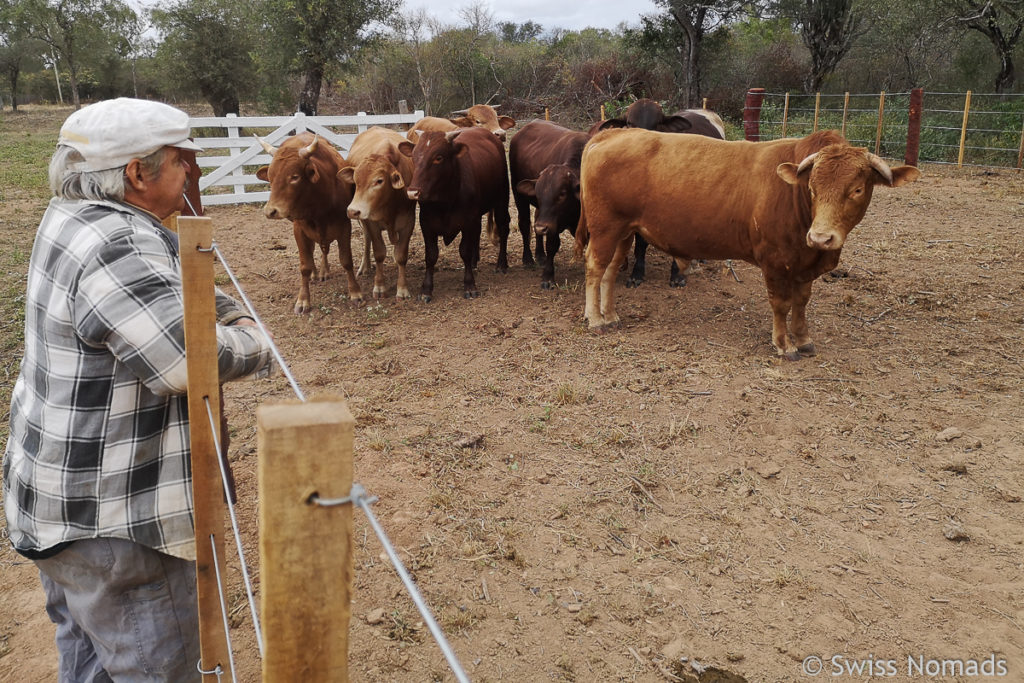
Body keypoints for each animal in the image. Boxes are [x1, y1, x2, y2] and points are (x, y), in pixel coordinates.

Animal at [256, 134, 360, 315]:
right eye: (270, 176)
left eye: (294, 176)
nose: (270, 211)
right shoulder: (299, 229)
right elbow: (305, 265)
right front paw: (303, 299)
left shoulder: (344, 225)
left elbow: (346, 260)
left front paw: (355, 292)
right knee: (313, 252)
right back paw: (315, 273)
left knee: (324, 249)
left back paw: (324, 271)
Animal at [337, 127, 413, 299]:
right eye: (356, 180)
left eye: (379, 181)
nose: (352, 210)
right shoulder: (371, 223)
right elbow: (379, 253)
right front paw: (379, 286)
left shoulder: (408, 223)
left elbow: (401, 255)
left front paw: (402, 288)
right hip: (363, 221)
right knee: (367, 239)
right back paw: (365, 266)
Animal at [397, 126, 512, 301]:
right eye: (414, 157)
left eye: (438, 157)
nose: (413, 192)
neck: (446, 201)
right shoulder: (426, 224)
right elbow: (431, 255)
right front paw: (426, 289)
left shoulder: (468, 222)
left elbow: (465, 251)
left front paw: (470, 285)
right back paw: (475, 262)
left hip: (501, 200)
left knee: (503, 228)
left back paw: (501, 264)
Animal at [507, 118, 589, 286]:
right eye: (538, 193)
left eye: (562, 193)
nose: (542, 227)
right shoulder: (552, 224)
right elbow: (552, 245)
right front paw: (548, 276)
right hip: (520, 198)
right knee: (525, 224)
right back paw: (528, 258)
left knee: (536, 219)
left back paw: (540, 254)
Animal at [577, 130, 921, 360]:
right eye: (811, 187)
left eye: (858, 189)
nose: (821, 238)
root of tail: (616, 132)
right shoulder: (776, 261)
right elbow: (781, 304)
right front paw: (784, 344)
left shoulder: (804, 266)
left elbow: (801, 302)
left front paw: (804, 338)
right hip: (605, 228)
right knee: (595, 268)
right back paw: (595, 319)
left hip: (624, 232)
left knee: (610, 271)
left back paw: (611, 315)